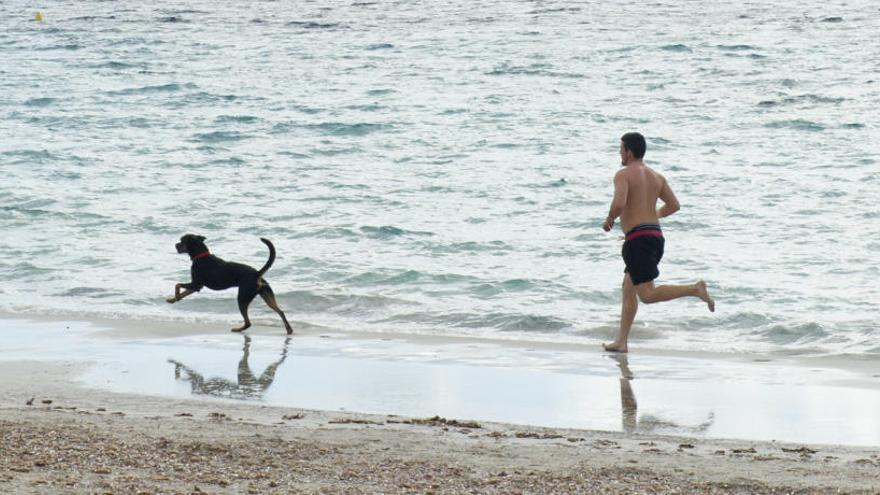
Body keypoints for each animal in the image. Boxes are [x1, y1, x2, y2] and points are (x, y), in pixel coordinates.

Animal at [168, 235, 296, 336]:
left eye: (182, 241)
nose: (175, 244)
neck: (201, 256)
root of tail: (257, 274)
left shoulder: (196, 285)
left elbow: (177, 285)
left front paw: (176, 296)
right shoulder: (197, 286)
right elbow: (183, 291)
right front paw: (173, 299)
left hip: (243, 297)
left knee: (248, 322)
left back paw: (238, 329)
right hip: (266, 294)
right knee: (280, 312)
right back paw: (289, 329)